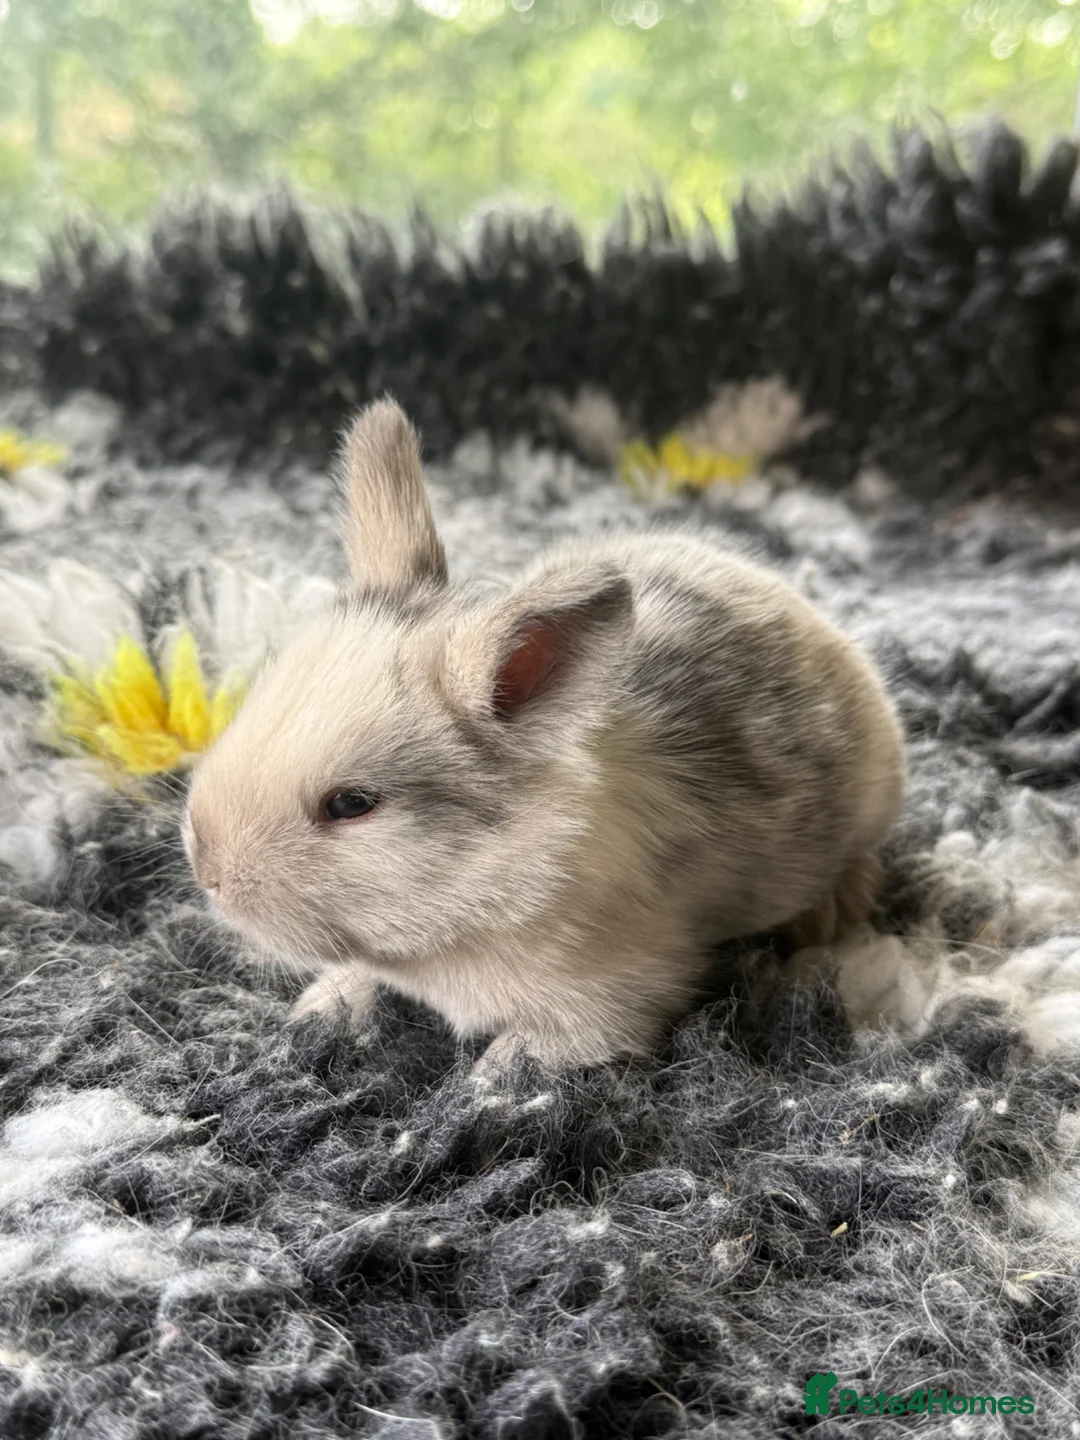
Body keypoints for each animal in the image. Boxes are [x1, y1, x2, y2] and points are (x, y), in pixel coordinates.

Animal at [183, 398, 906, 1071]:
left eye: (351, 804)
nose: (209, 871)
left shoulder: (613, 1002)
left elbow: (532, 1050)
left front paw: (487, 1084)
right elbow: (358, 975)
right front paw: (319, 1010)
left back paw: (835, 909)